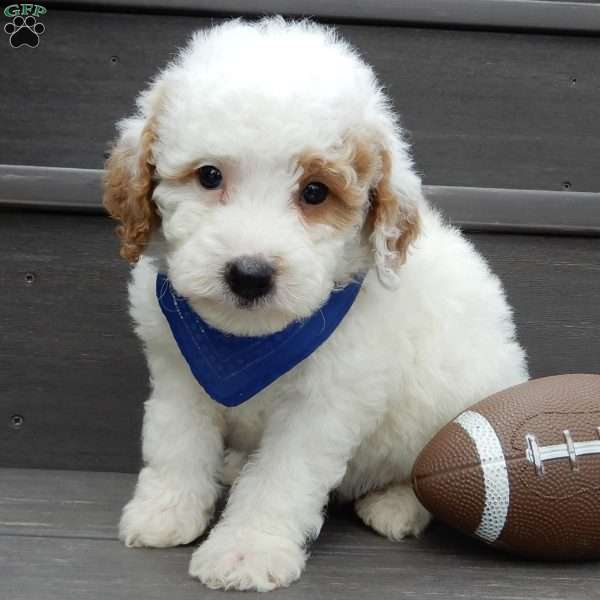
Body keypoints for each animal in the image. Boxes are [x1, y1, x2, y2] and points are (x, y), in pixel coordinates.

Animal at [104, 17, 528, 592]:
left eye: (314, 192)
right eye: (210, 175)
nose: (250, 274)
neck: (247, 344)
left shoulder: (326, 401)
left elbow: (281, 477)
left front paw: (246, 550)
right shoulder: (177, 369)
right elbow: (176, 441)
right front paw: (167, 511)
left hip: (459, 394)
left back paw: (396, 505)